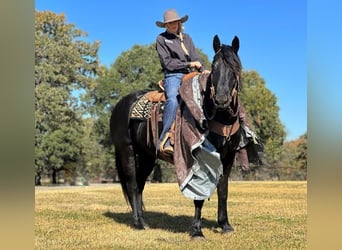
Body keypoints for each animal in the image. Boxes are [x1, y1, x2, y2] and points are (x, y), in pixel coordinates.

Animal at [111, 35, 242, 238]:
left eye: (235, 67)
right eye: (214, 66)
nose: (221, 100)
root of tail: (120, 105)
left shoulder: (227, 157)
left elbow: (223, 190)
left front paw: (225, 225)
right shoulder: (199, 158)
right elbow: (198, 196)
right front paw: (197, 231)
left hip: (147, 156)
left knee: (140, 185)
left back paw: (144, 221)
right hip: (127, 151)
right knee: (132, 184)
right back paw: (138, 223)